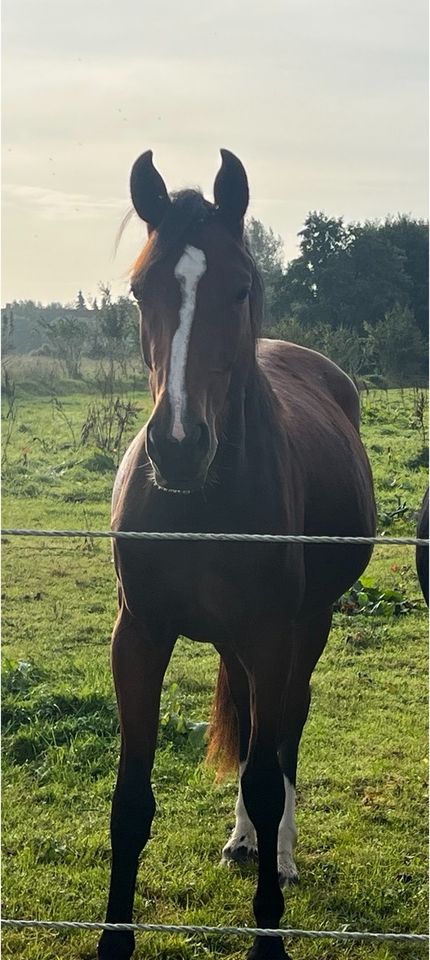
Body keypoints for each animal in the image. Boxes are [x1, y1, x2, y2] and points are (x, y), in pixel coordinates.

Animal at [98, 150, 376, 960]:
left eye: (241, 287)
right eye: (141, 290)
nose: (178, 447)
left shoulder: (273, 638)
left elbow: (264, 770)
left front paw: (268, 939)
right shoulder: (139, 636)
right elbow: (131, 798)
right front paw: (113, 940)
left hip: (305, 632)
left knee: (282, 741)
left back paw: (278, 850)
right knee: (254, 724)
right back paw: (242, 841)